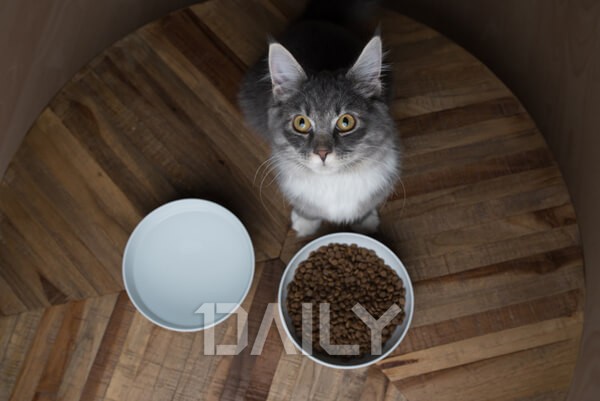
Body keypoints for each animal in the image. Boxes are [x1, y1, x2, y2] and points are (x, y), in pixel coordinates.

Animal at [238, 2, 400, 237]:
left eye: (345, 122)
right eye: (301, 123)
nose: (322, 153)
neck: (333, 182)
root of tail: (316, 19)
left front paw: (364, 223)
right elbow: (307, 209)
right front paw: (306, 223)